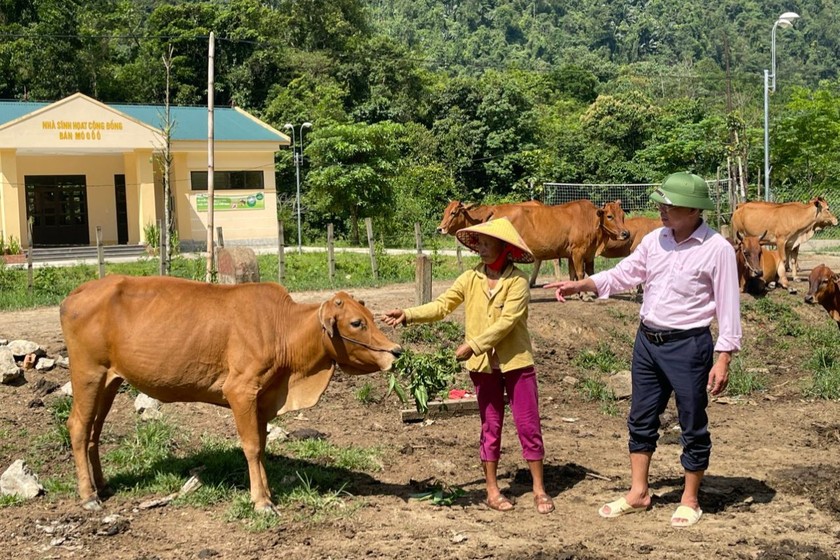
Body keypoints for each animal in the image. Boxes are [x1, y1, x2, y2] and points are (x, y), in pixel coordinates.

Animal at [59, 274, 400, 512]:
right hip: (88, 373)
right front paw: (261, 501)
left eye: (371, 318)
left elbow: (262, 445)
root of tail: (78, 292)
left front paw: (267, 492)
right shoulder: (241, 391)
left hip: (110, 381)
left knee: (94, 432)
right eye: (356, 323)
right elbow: (251, 446)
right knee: (78, 426)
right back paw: (88, 495)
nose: (396, 352)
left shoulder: (263, 398)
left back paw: (102, 485)